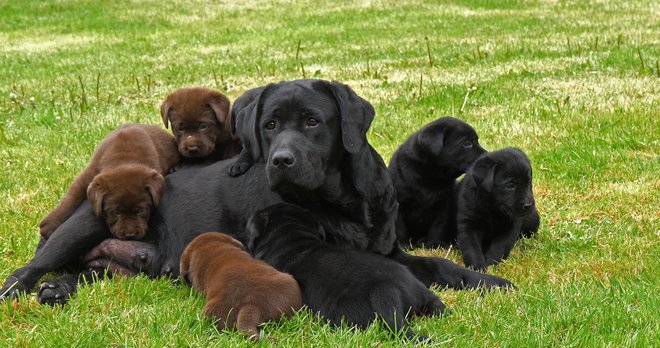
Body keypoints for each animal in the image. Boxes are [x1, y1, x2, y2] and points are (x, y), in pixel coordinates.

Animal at [39, 123, 179, 241]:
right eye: (116, 212)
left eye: (140, 210)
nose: (130, 235)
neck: (124, 159)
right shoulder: (89, 174)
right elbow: (72, 196)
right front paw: (50, 224)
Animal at [386, 117, 484, 247]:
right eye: (467, 143)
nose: (486, 155)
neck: (431, 177)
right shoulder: (399, 204)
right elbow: (399, 227)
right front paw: (403, 245)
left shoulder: (444, 205)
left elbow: (438, 227)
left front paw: (435, 244)